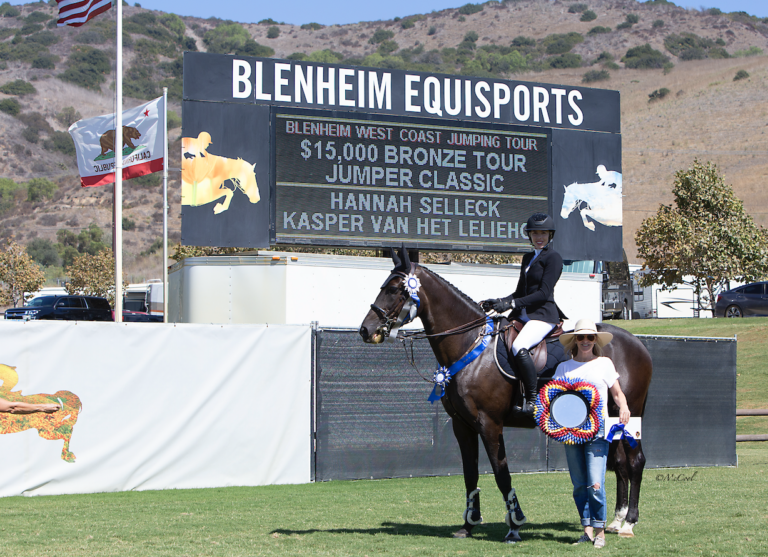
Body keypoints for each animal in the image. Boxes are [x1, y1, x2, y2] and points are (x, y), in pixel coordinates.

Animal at [356, 249, 652, 544]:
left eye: (394, 289)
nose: (366, 330)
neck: (471, 344)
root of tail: (637, 344)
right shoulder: (462, 425)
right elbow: (470, 474)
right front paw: (468, 524)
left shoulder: (490, 424)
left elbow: (502, 475)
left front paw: (515, 525)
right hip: (610, 418)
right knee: (621, 464)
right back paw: (616, 520)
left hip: (628, 414)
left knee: (635, 462)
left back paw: (629, 522)